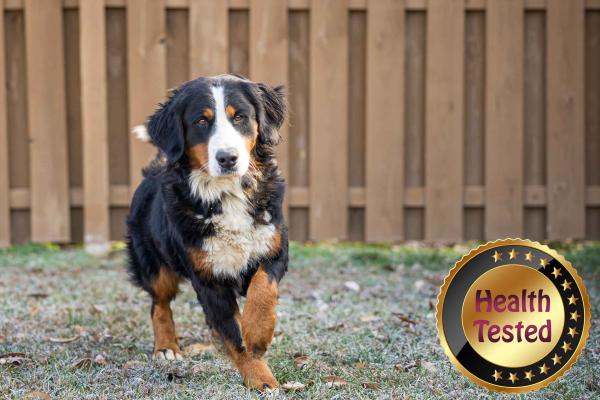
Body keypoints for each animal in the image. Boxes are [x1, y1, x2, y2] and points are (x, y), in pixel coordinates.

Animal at [126, 73, 288, 390]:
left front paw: (258, 333)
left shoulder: (274, 249)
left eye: (239, 117)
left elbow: (262, 290)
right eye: (201, 121)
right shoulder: (208, 277)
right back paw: (167, 347)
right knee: (159, 304)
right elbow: (234, 335)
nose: (227, 158)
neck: (228, 195)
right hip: (154, 266)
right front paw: (260, 376)